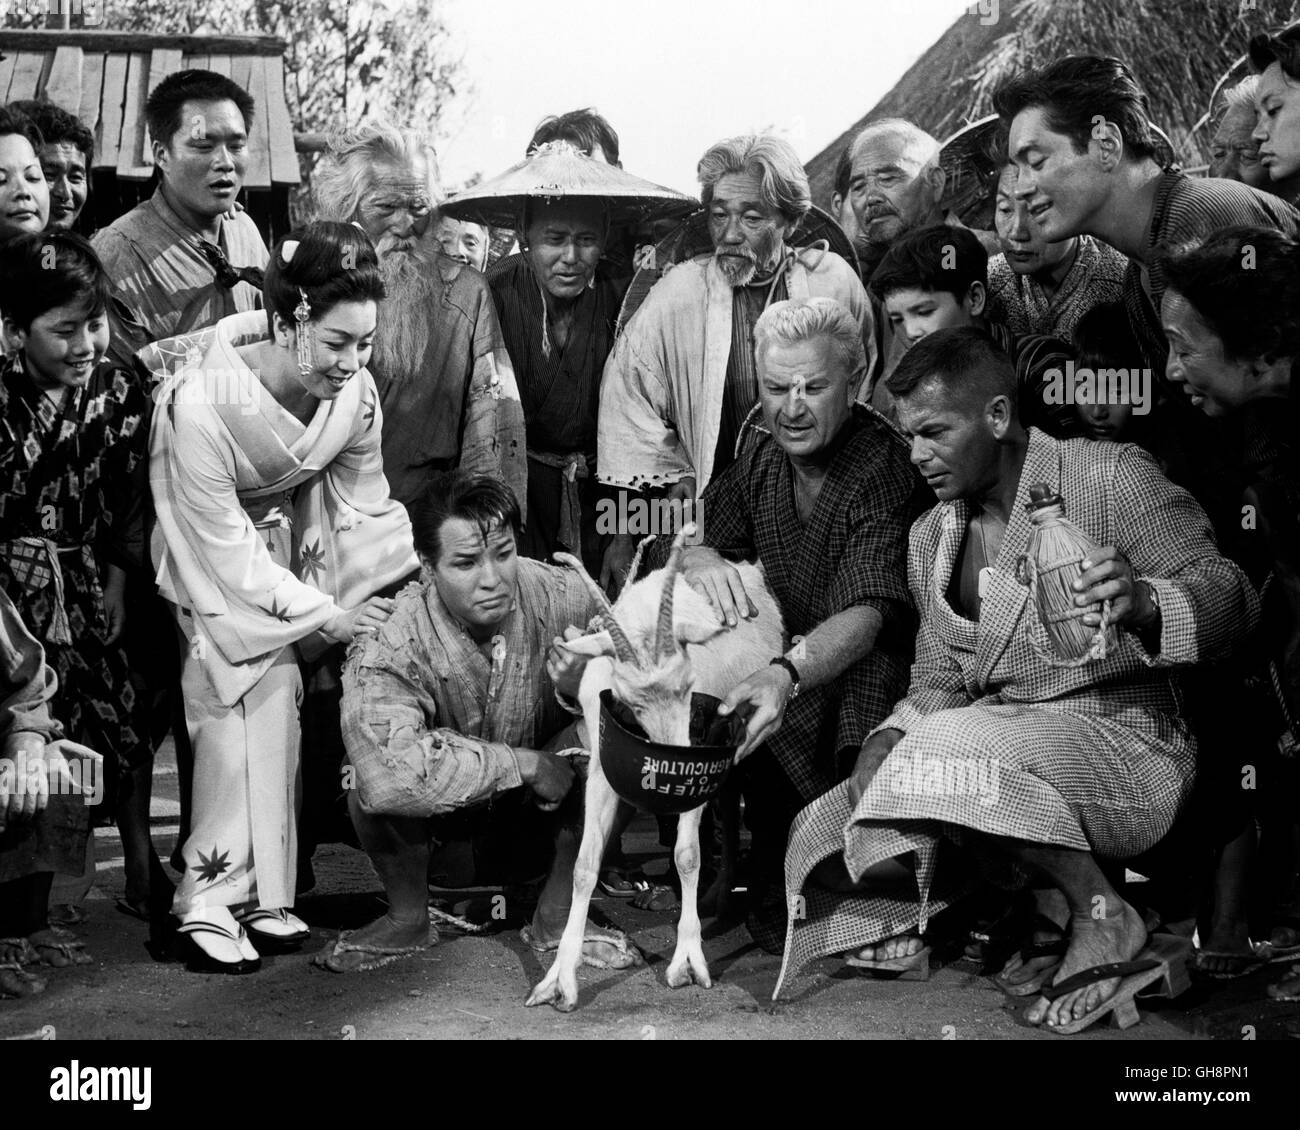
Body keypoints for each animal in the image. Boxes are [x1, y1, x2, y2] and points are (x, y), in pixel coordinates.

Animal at [522, 525, 785, 1009]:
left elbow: (686, 854)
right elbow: (584, 864)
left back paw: (719, 899)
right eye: (632, 698)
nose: (676, 755)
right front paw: (559, 980)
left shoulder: (700, 762)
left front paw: (688, 962)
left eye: (688, 684)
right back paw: (716, 896)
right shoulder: (601, 765)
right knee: (724, 806)